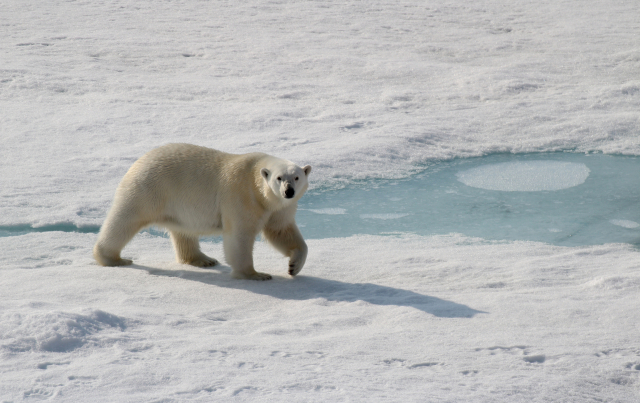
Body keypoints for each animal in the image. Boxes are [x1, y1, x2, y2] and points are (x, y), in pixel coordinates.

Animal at [93, 144, 312, 280]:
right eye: (279, 178)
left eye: (296, 177)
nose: (289, 191)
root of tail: (139, 161)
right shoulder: (241, 196)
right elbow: (240, 235)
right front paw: (256, 274)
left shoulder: (278, 208)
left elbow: (281, 231)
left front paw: (294, 266)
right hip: (149, 189)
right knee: (125, 220)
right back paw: (113, 258)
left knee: (183, 231)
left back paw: (203, 259)